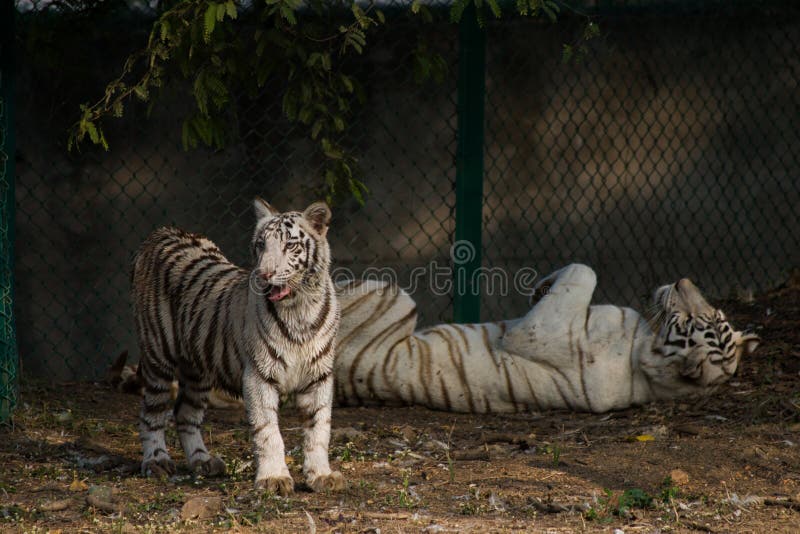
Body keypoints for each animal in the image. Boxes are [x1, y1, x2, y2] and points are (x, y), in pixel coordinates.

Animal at [130, 199, 340, 496]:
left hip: (198, 370)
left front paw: (322, 475)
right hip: (158, 356)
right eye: (261, 244)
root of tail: (160, 232)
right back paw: (156, 461)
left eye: (290, 245)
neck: (300, 308)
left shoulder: (319, 376)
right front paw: (274, 478)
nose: (265, 274)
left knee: (185, 413)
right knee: (152, 413)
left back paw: (203, 461)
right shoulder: (259, 375)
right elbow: (268, 432)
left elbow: (319, 429)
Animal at [334, 264, 760, 414]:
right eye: (712, 315)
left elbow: (583, 272)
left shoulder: (535, 333)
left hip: (394, 297)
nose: (683, 281)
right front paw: (540, 287)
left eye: (690, 319)